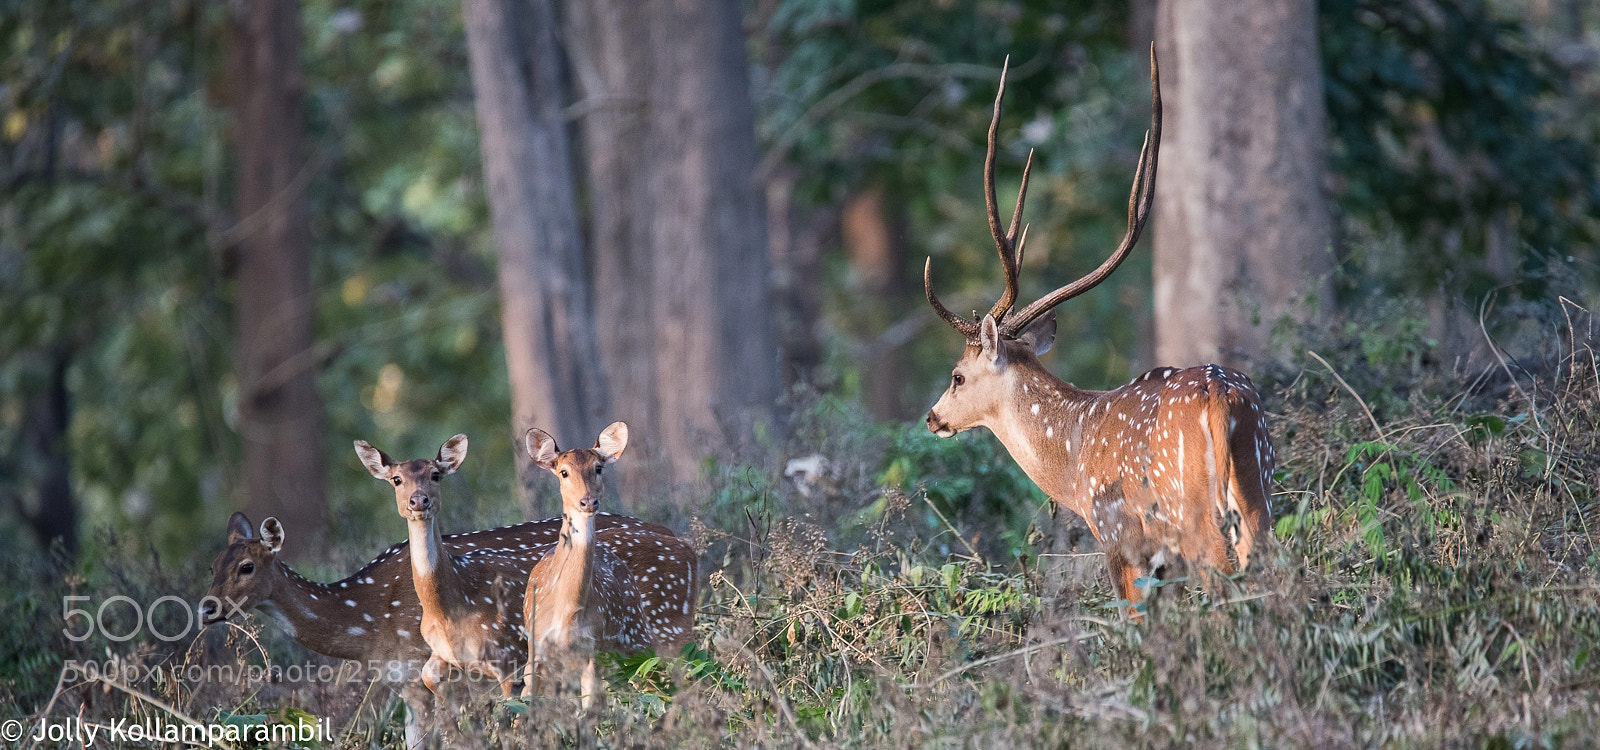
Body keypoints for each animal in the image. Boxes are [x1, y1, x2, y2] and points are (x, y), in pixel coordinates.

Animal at [920, 48, 1274, 614]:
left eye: (957, 375)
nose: (932, 417)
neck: (1071, 458)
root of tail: (1224, 398)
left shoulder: (1116, 534)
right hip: (1260, 482)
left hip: (1193, 509)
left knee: (1225, 579)